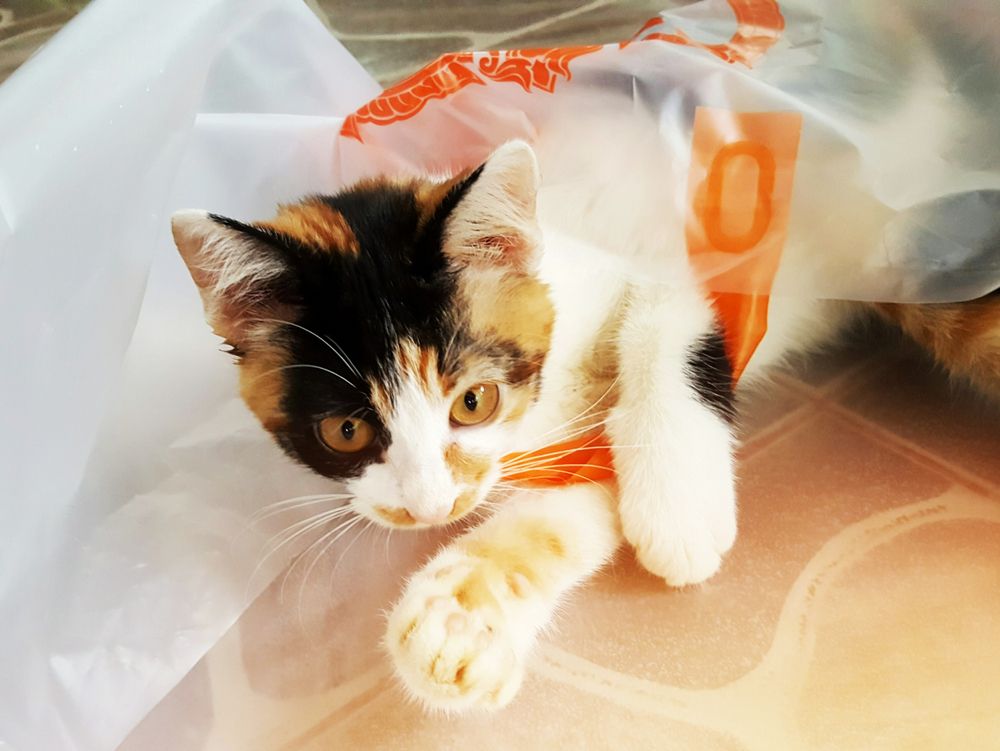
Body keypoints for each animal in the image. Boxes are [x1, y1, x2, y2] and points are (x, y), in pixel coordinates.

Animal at [172, 140, 1000, 712]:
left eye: (473, 400)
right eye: (345, 432)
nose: (431, 505)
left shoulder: (687, 265)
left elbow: (664, 321)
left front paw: (678, 508)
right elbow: (566, 507)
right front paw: (460, 617)